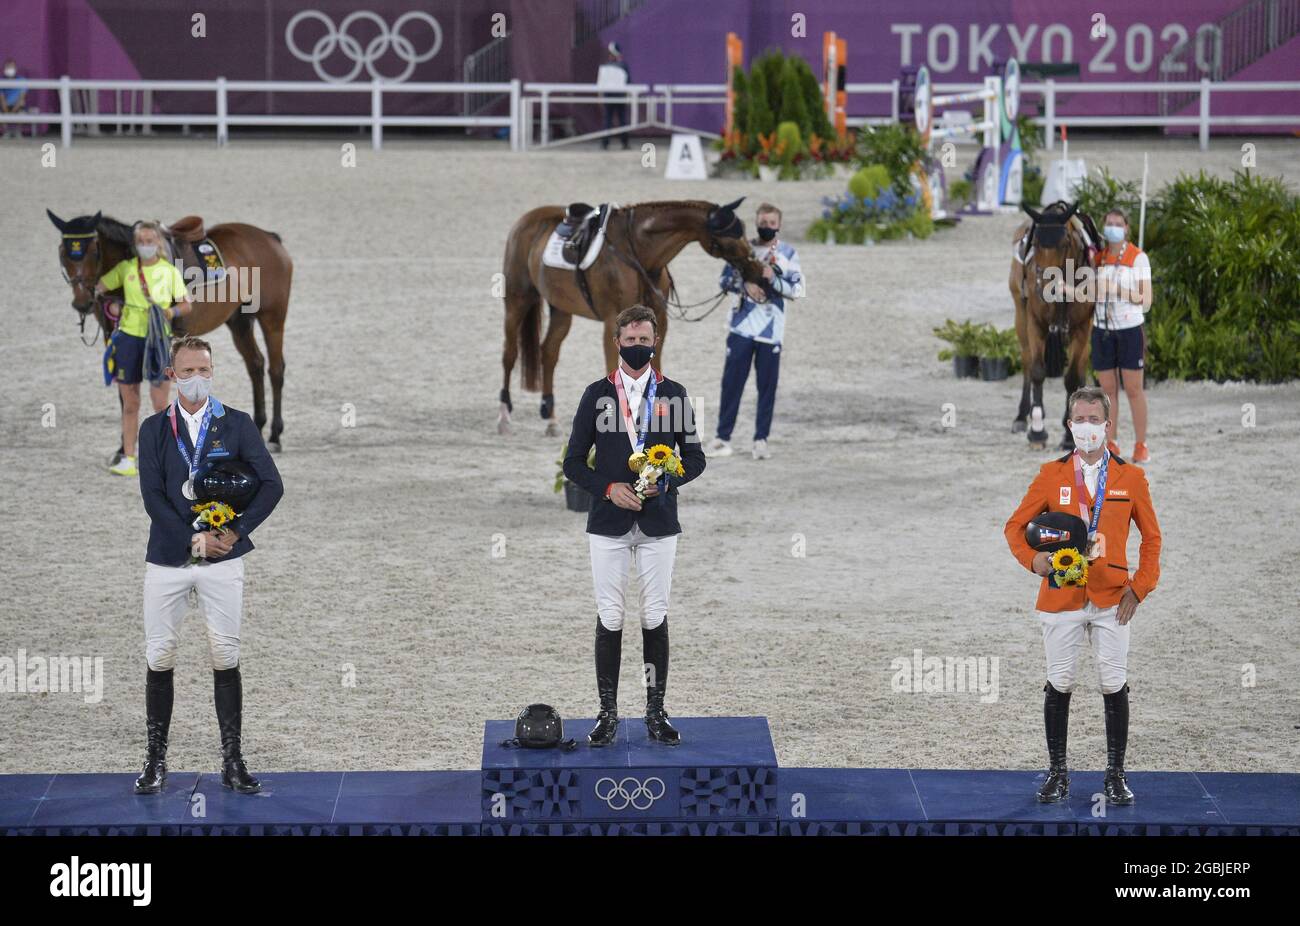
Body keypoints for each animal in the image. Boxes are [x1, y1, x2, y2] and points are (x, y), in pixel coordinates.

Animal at [48, 210, 295, 455]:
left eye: (94, 251)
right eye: (62, 253)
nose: (82, 304)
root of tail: (269, 237)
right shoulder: (114, 339)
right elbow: (124, 395)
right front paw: (123, 447)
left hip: (272, 317)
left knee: (275, 369)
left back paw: (275, 435)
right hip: (239, 322)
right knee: (255, 364)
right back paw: (258, 426)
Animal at [493, 197, 759, 436]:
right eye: (731, 237)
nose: (757, 270)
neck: (640, 252)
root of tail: (526, 220)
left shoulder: (659, 320)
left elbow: (656, 366)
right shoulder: (613, 321)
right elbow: (613, 368)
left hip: (561, 309)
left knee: (548, 352)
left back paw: (551, 419)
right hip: (518, 300)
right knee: (509, 354)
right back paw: (504, 416)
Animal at [1003, 200, 1097, 449]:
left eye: (1064, 244)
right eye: (1035, 244)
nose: (1046, 290)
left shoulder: (1082, 327)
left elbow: (1072, 378)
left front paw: (1068, 436)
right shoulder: (1035, 323)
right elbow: (1037, 371)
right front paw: (1037, 432)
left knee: (1080, 368)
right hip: (1020, 315)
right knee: (1027, 361)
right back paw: (1022, 415)